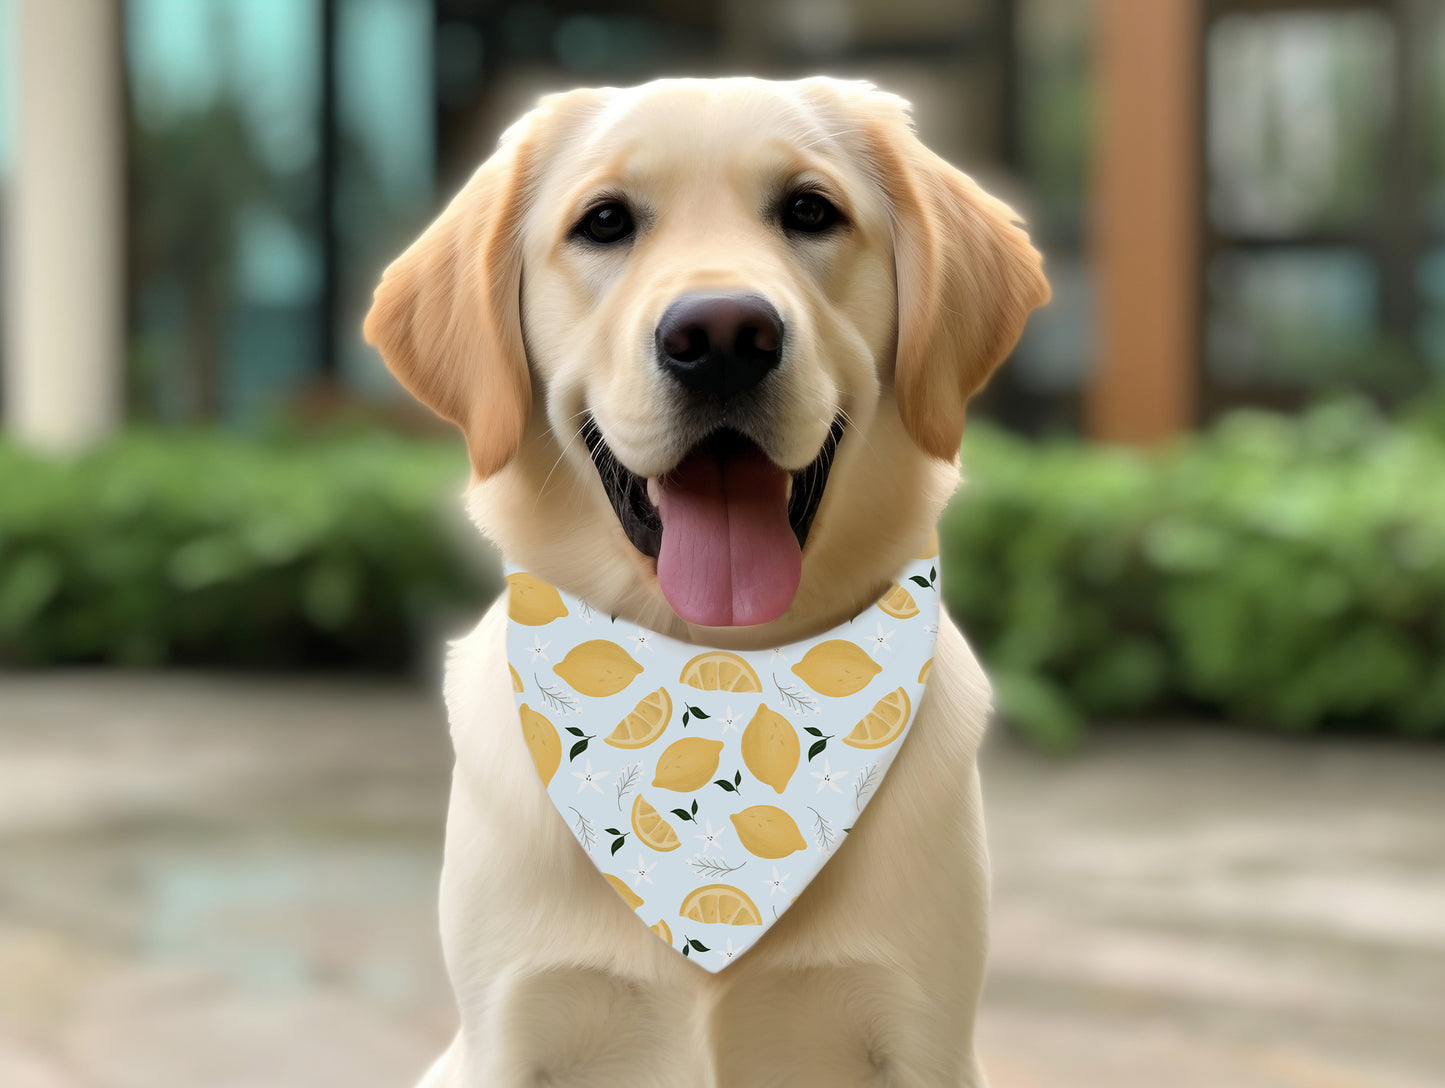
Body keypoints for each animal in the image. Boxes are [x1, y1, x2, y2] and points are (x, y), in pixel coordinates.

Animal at [367, 76, 1046, 1086]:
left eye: (809, 210)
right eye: (604, 222)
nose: (722, 335)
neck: (714, 672)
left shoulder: (923, 1035)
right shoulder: (507, 1037)